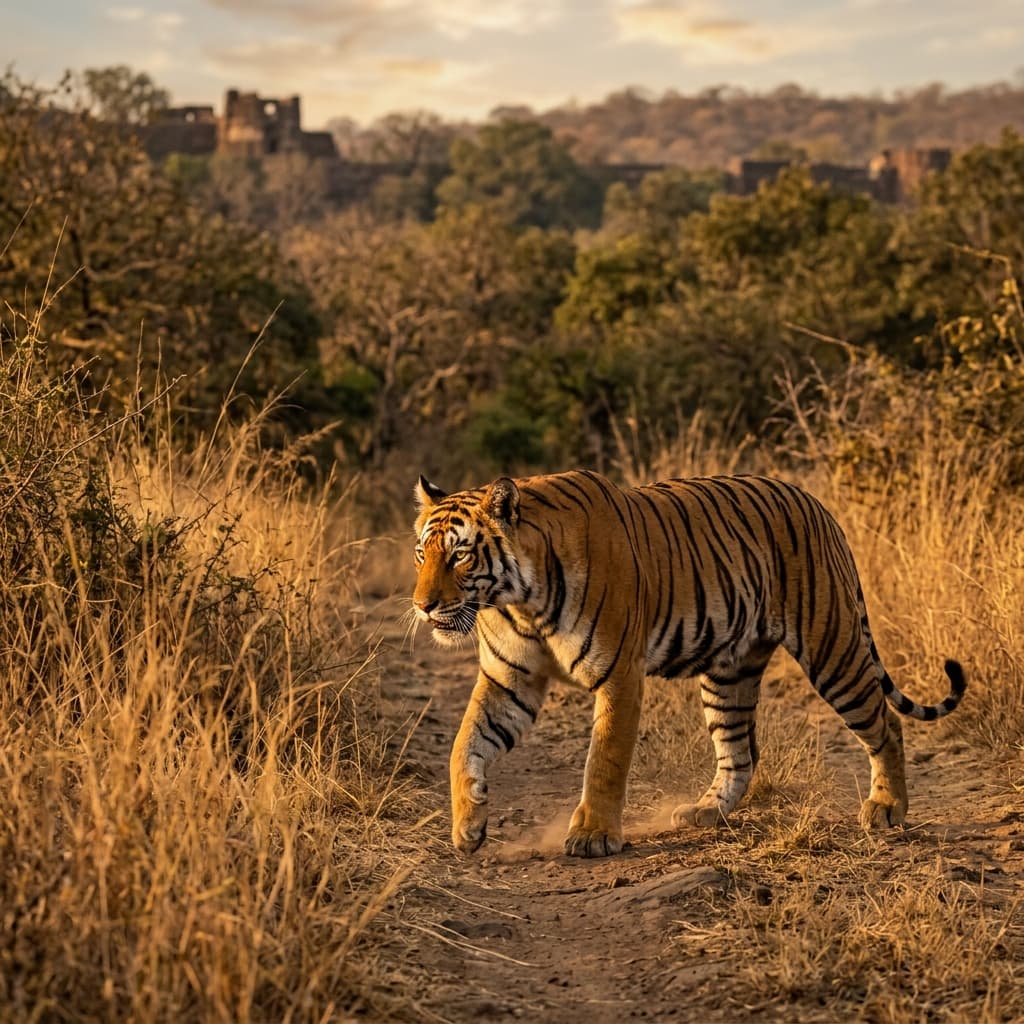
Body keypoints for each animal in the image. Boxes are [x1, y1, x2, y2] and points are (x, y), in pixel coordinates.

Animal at [411, 470, 966, 858]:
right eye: (421, 553)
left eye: (459, 555)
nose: (422, 606)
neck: (519, 599)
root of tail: (816, 504)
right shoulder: (509, 680)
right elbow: (464, 744)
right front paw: (467, 826)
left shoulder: (619, 674)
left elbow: (604, 759)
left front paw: (593, 835)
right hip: (728, 673)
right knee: (740, 753)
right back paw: (704, 812)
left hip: (833, 647)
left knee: (886, 724)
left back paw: (887, 808)